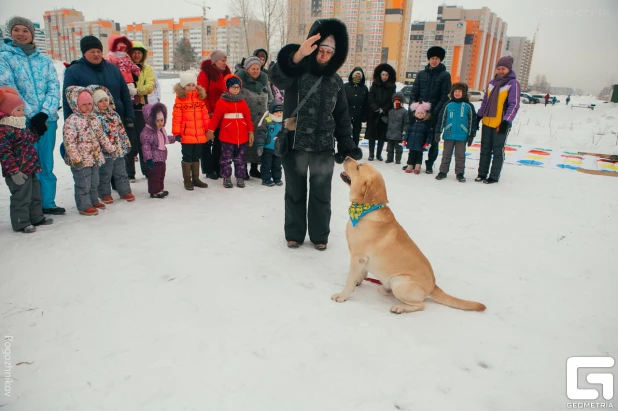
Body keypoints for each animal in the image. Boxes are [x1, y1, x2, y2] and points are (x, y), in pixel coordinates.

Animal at [330, 158, 484, 316]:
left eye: (359, 167)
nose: (346, 157)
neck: (366, 210)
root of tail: (433, 285)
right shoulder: (362, 260)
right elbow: (361, 273)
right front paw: (358, 282)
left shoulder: (358, 257)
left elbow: (350, 279)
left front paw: (342, 295)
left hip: (399, 282)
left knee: (420, 305)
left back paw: (399, 308)